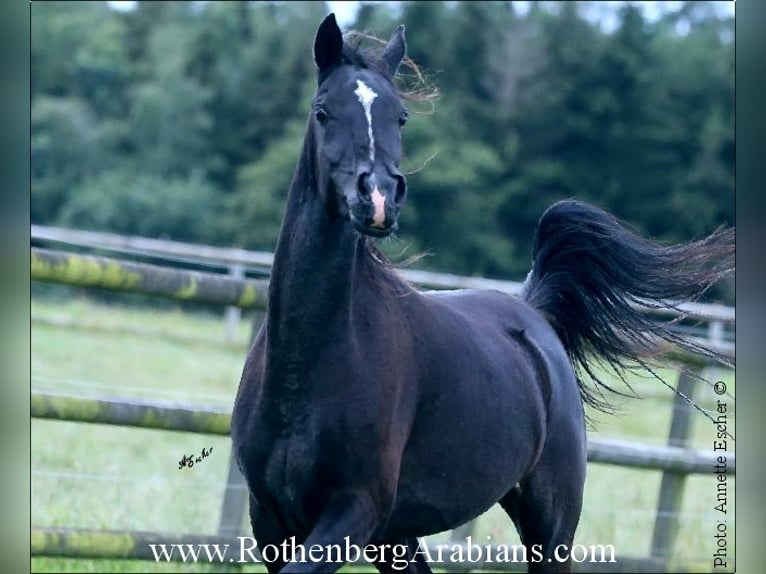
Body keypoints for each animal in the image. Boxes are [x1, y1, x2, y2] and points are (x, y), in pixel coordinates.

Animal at [231, 14, 736, 574]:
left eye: (400, 117)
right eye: (323, 111)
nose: (379, 198)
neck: (308, 366)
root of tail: (533, 312)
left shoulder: (353, 510)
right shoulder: (271, 520)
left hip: (549, 520)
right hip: (399, 536)